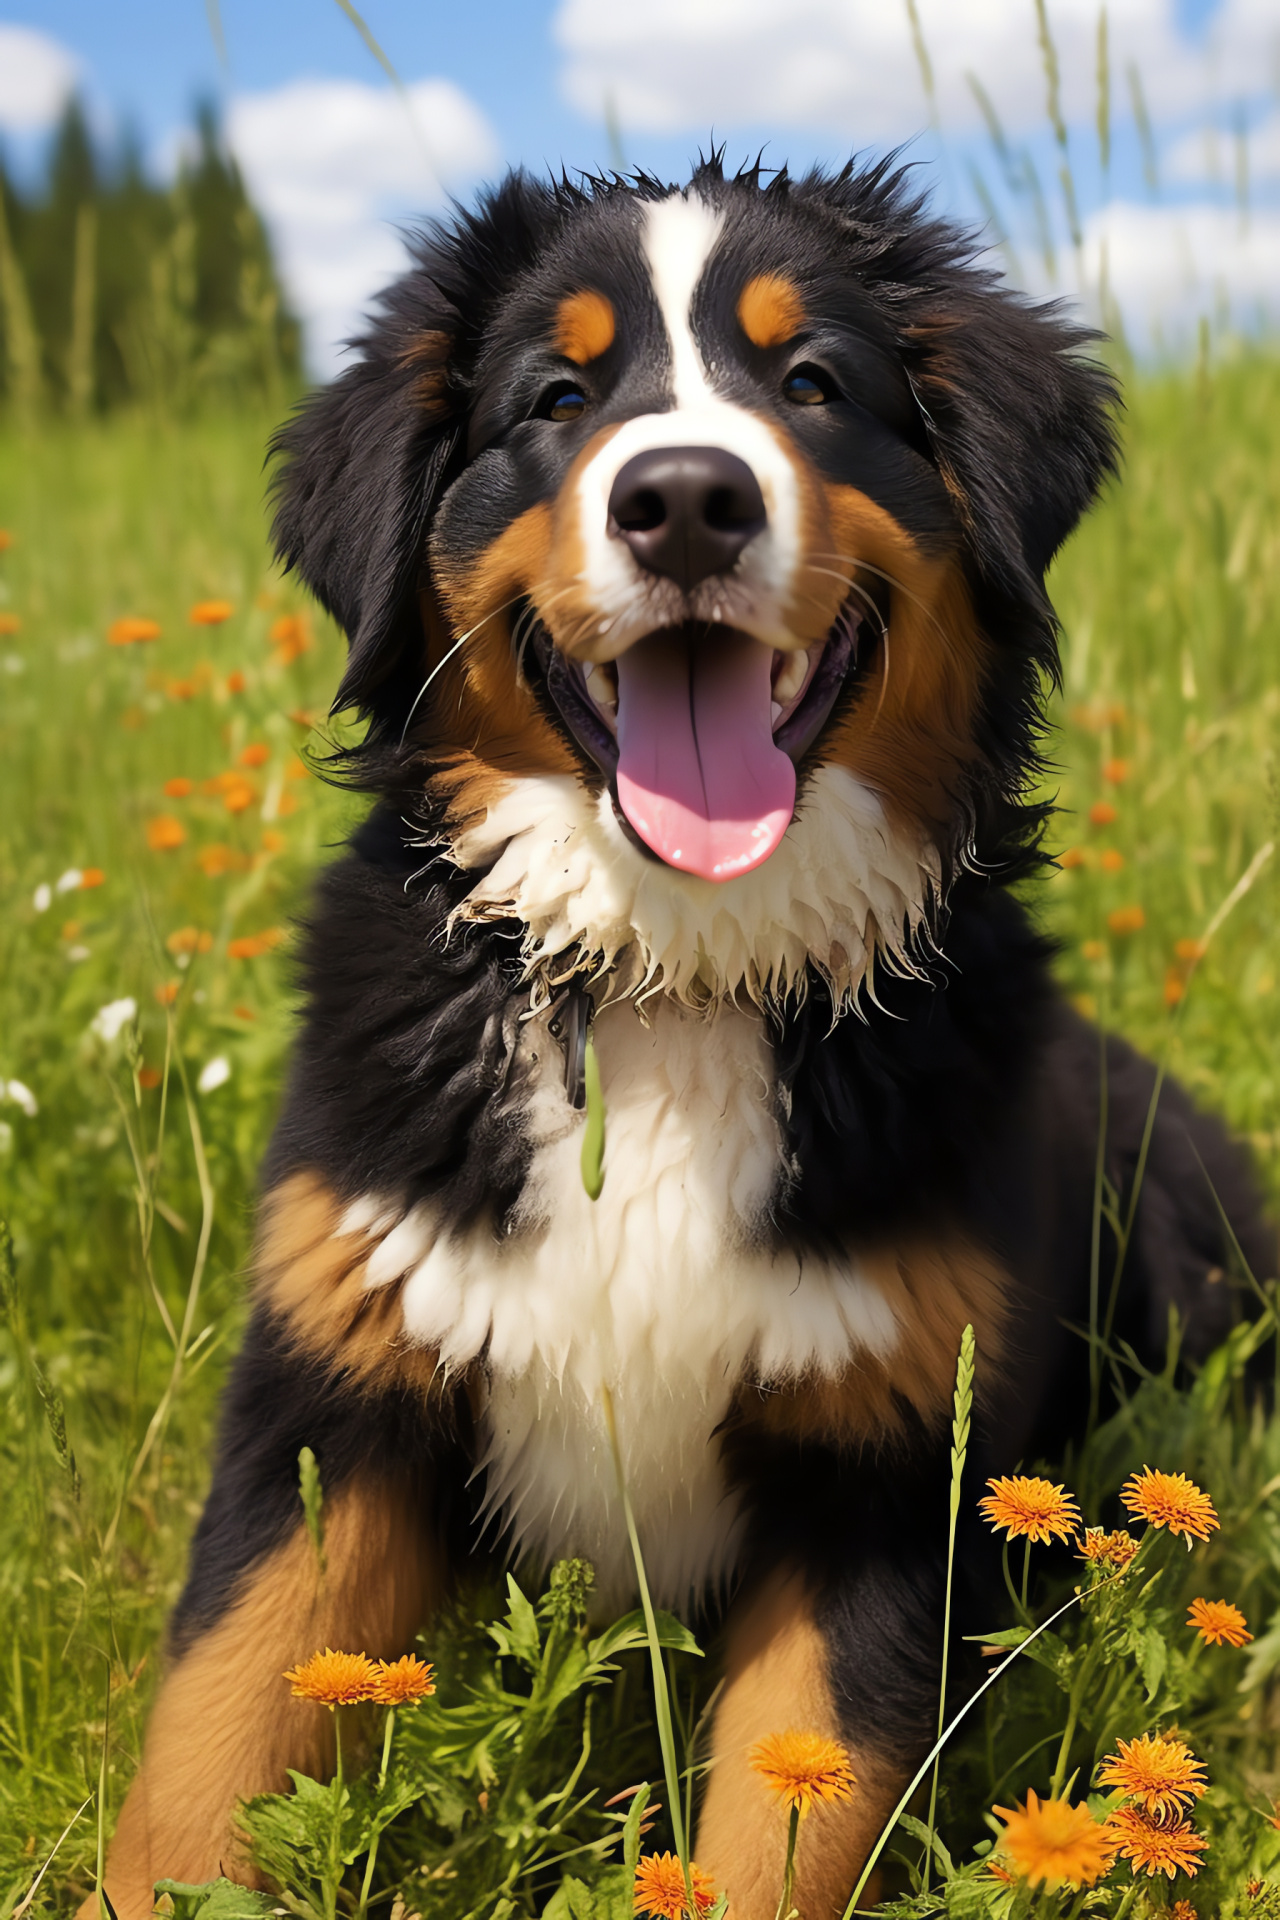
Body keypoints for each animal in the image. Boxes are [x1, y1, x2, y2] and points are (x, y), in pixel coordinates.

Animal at [102, 161, 1274, 1920]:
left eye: (814, 385)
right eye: (557, 400)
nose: (685, 501)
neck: (673, 979)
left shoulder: (876, 1470)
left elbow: (789, 1817)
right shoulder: (337, 1397)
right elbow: (207, 1748)